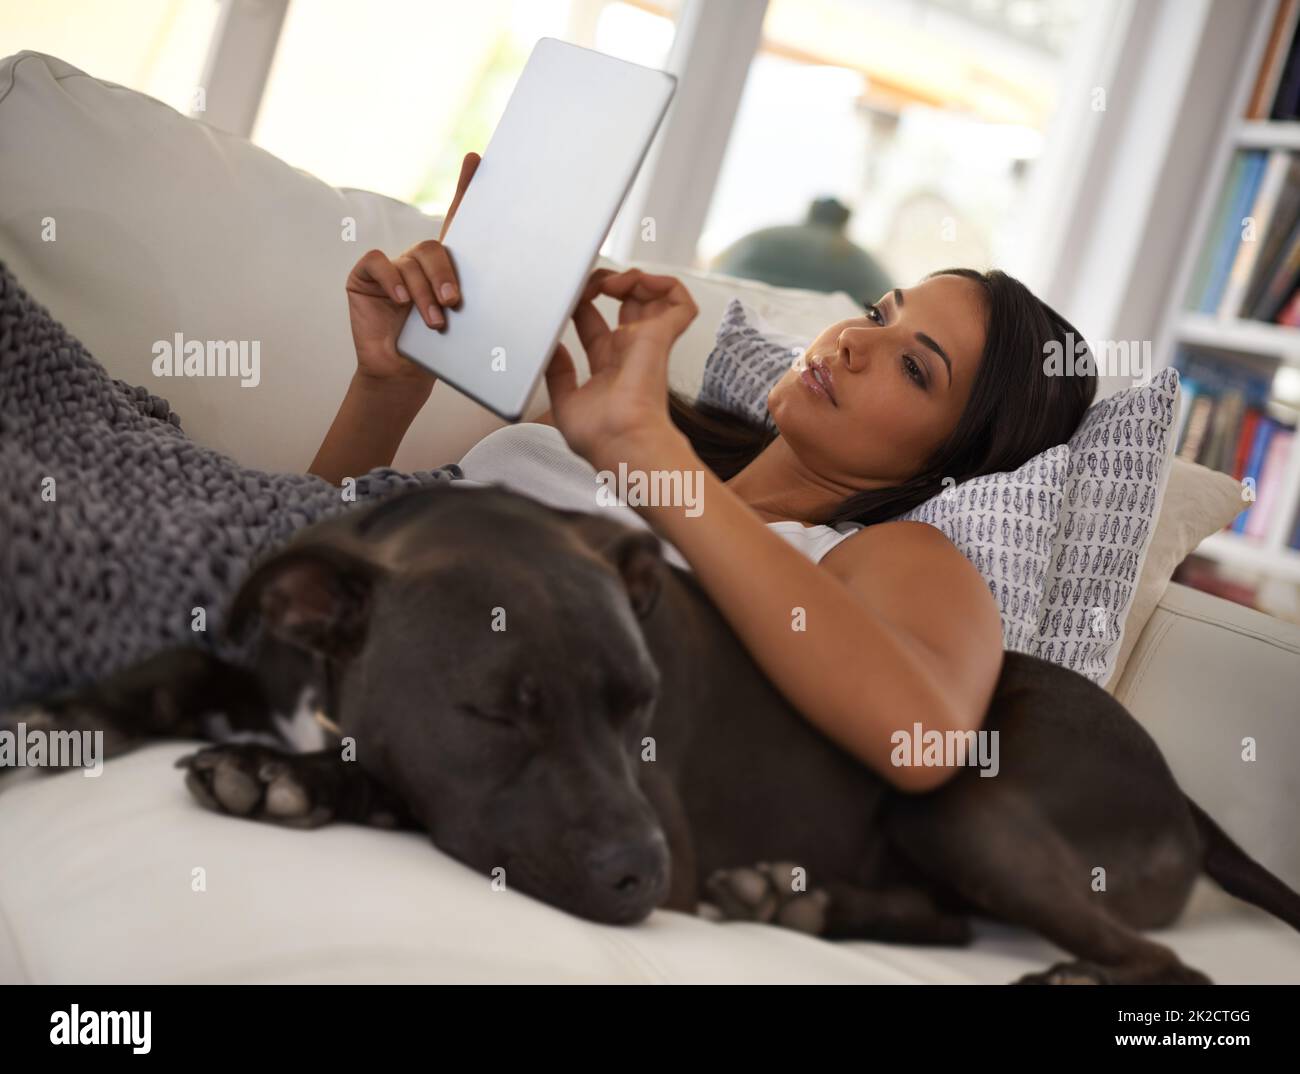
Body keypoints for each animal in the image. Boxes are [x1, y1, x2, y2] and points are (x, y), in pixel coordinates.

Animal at [17, 481, 1300, 982]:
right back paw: (798, 904)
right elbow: (179, 667)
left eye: (641, 706)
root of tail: (1186, 797)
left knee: (1165, 961)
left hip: (963, 798)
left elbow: (389, 782)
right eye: (497, 710)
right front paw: (66, 717)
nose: (641, 878)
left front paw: (278, 777)